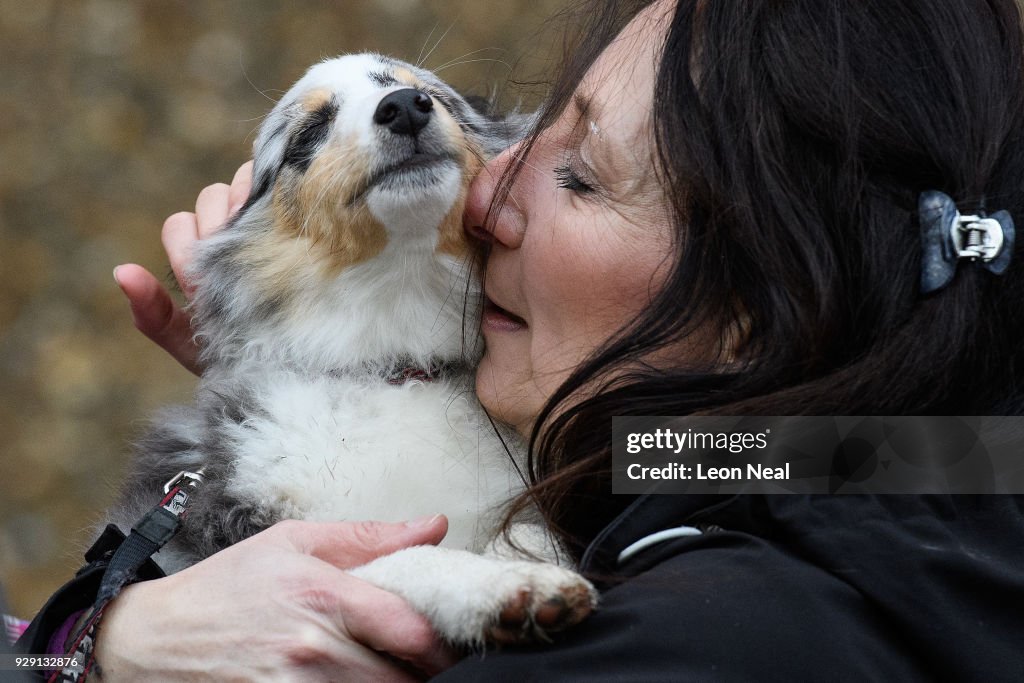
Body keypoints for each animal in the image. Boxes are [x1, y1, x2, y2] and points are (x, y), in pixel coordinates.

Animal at [105, 53, 593, 647]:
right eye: (309, 133)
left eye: (434, 95)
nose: (404, 107)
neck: (391, 368)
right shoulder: (238, 543)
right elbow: (398, 557)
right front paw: (500, 586)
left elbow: (528, 528)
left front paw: (529, 570)